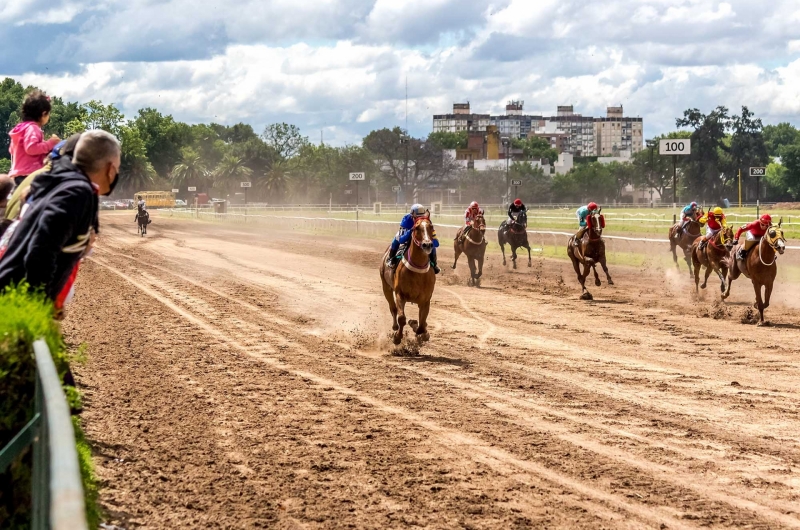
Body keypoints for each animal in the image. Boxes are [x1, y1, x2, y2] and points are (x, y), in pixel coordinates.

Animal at [382, 213, 438, 342]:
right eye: (416, 228)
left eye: (431, 226)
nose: (427, 244)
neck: (418, 271)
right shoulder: (400, 294)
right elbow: (402, 318)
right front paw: (397, 337)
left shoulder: (425, 300)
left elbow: (422, 326)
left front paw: (419, 329)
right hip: (386, 287)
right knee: (393, 308)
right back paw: (395, 327)